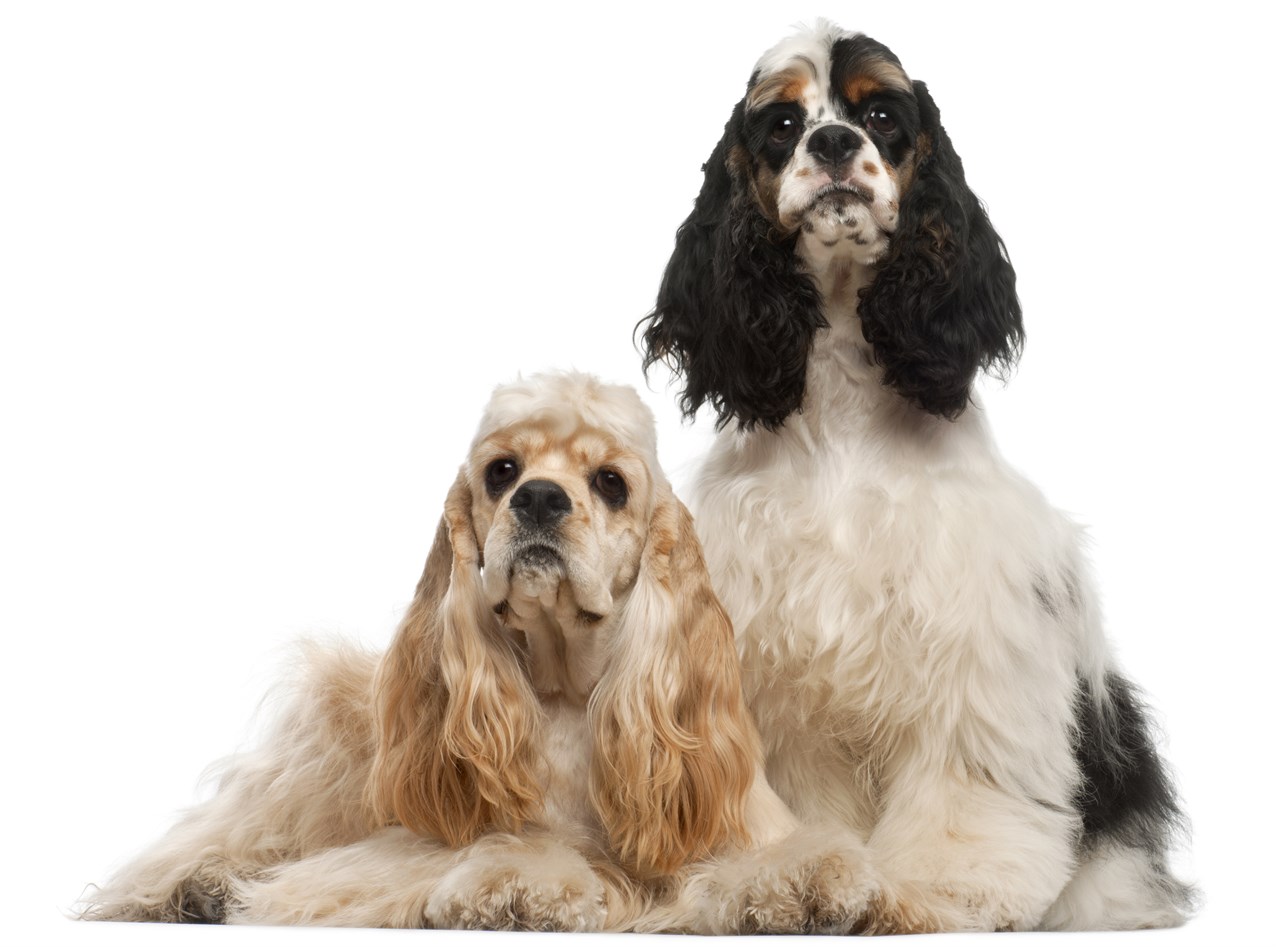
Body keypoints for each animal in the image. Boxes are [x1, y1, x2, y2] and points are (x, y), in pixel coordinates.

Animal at [79, 372, 877, 934]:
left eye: (610, 482)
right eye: (502, 470)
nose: (541, 498)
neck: (565, 688)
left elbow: (766, 858)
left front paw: (804, 885)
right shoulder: (395, 853)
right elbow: (503, 853)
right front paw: (524, 885)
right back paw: (194, 885)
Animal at [648, 20, 1194, 934]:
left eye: (881, 115)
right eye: (781, 126)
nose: (835, 143)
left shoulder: (974, 641)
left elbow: (961, 796)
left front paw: (932, 890)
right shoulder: (773, 663)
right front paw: (792, 878)